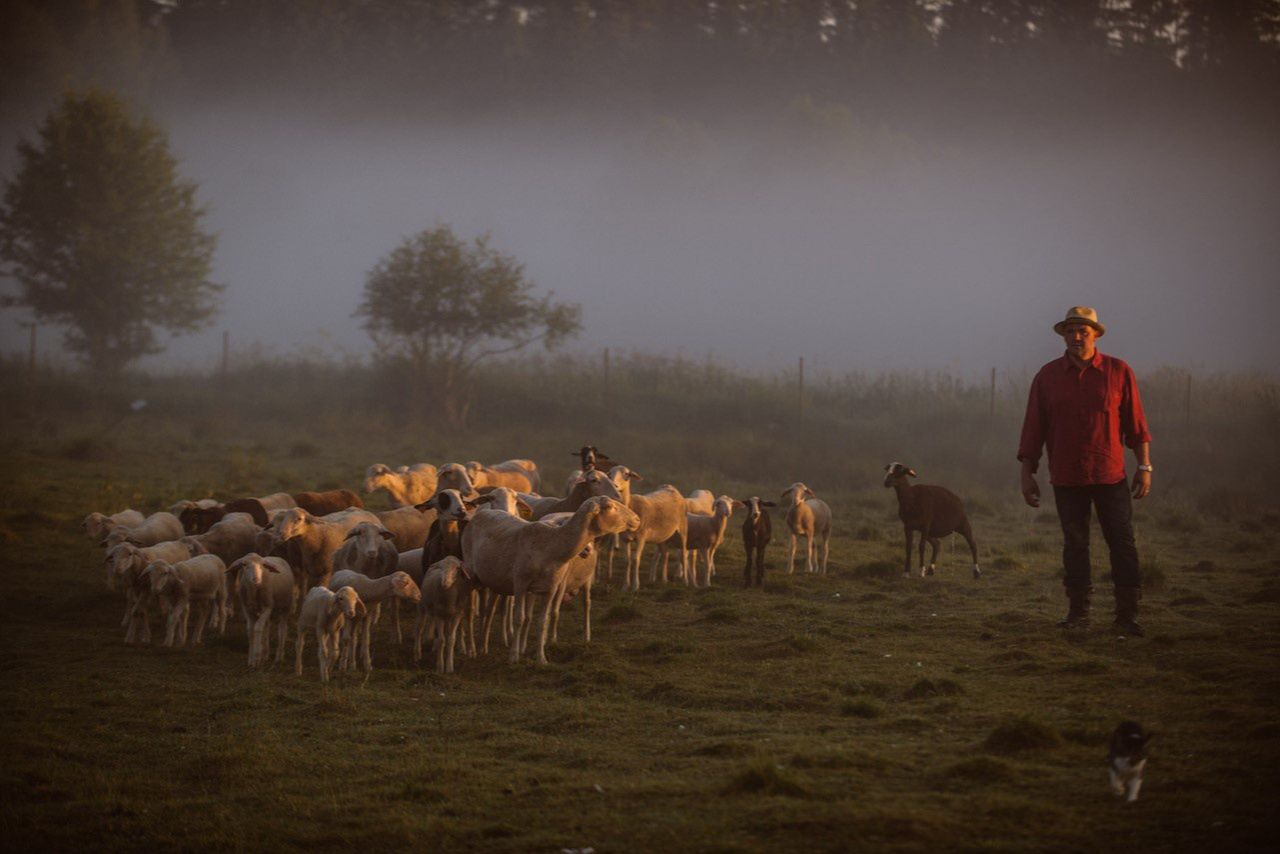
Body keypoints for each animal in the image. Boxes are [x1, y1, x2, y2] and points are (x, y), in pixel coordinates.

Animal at [460, 491, 640, 665]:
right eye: (609, 506)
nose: (637, 519)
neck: (551, 544)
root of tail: (483, 512)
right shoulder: (520, 584)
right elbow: (519, 618)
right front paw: (513, 656)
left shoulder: (550, 588)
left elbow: (542, 621)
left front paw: (541, 658)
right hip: (471, 574)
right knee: (469, 612)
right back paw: (471, 649)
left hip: (494, 580)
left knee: (489, 611)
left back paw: (482, 645)